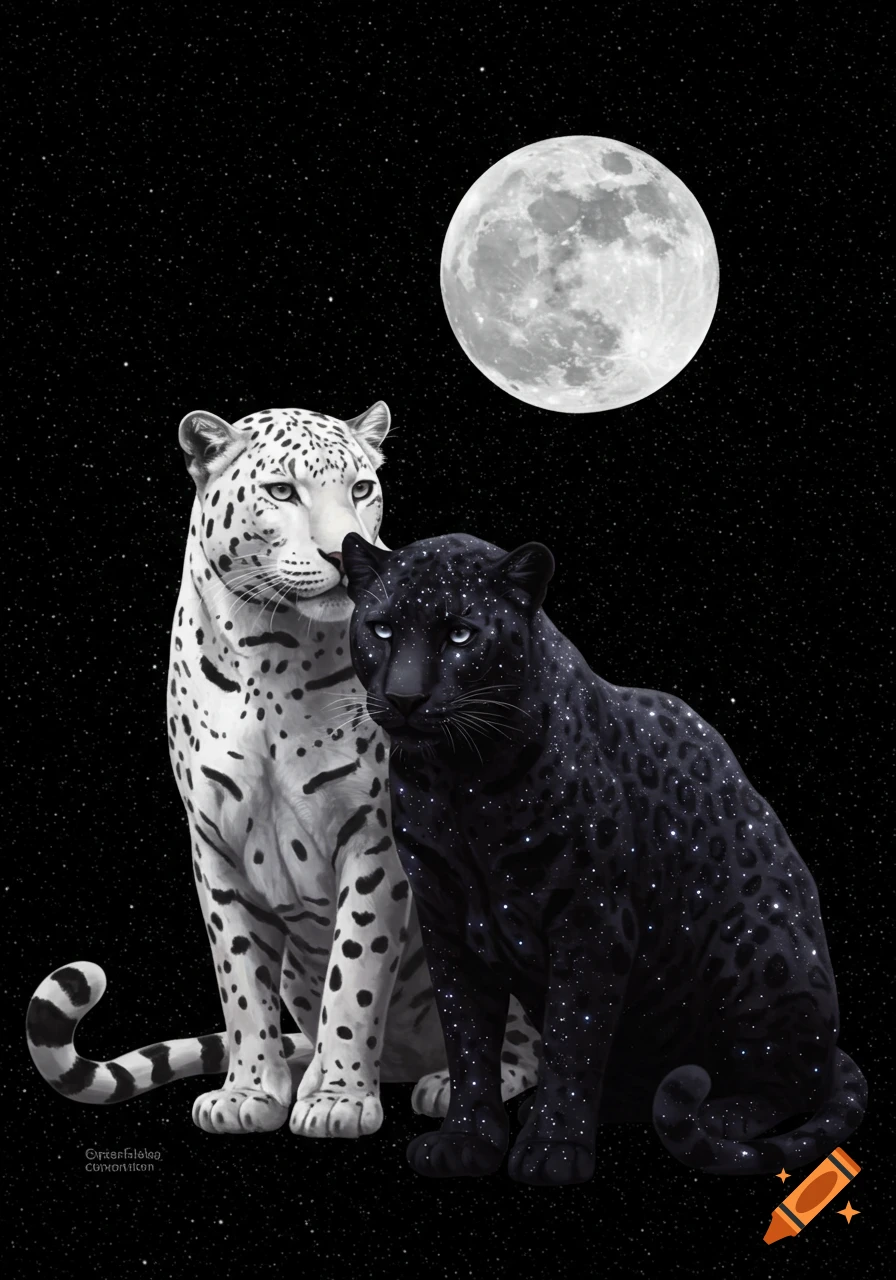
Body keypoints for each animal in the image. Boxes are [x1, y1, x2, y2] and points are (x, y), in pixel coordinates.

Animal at [26, 405, 540, 1136]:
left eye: (361, 488)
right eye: (280, 491)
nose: (341, 556)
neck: (269, 654)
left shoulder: (373, 837)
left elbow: (354, 975)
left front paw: (338, 1099)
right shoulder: (213, 845)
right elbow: (241, 982)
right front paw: (249, 1092)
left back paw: (448, 1084)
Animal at [341, 529, 868, 1184]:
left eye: (460, 634)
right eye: (382, 628)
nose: (404, 697)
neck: (457, 784)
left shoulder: (592, 922)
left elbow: (574, 1035)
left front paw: (552, 1150)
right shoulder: (446, 925)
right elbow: (467, 1040)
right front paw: (466, 1141)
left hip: (759, 949)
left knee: (792, 1080)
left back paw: (721, 1112)